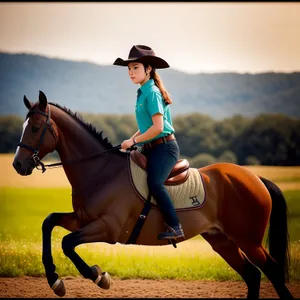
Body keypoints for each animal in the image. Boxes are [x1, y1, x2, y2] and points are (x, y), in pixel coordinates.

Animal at [12, 91, 296, 300]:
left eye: (35, 127)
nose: (17, 165)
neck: (100, 170)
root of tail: (255, 178)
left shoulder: (108, 228)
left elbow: (67, 242)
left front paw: (98, 276)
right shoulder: (82, 219)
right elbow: (49, 223)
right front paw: (55, 280)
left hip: (248, 240)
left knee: (271, 271)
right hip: (223, 241)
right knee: (253, 275)